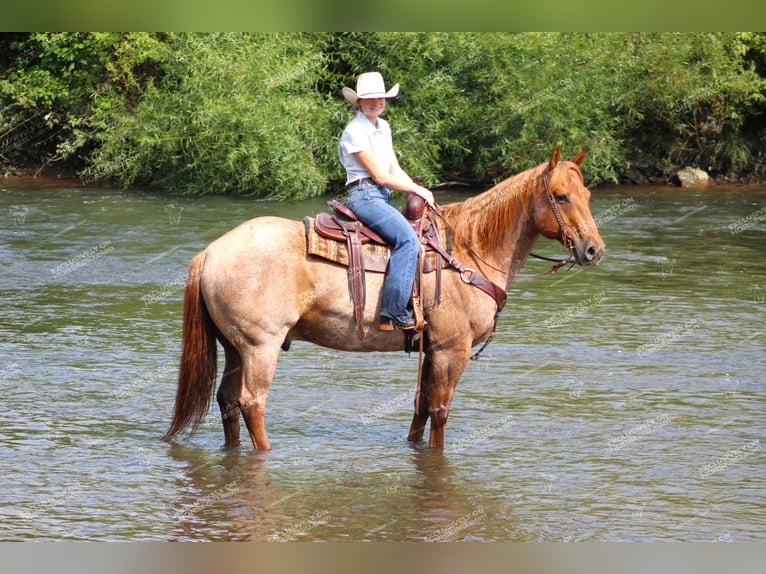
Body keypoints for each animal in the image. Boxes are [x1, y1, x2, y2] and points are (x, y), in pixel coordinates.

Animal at [160, 146, 608, 452]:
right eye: (561, 196)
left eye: (587, 194)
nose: (593, 250)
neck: (469, 249)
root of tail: (211, 252)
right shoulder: (452, 349)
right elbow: (440, 411)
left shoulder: (432, 347)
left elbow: (422, 407)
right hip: (259, 347)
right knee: (251, 402)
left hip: (234, 346)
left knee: (226, 401)